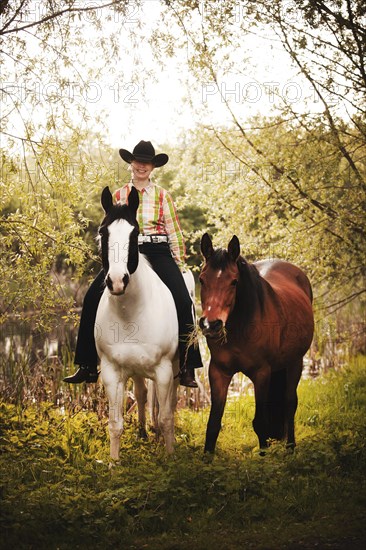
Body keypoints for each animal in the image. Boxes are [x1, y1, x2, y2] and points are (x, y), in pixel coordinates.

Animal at [94, 187, 182, 462]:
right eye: (103, 232)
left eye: (134, 234)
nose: (116, 281)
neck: (130, 313)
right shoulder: (112, 373)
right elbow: (115, 424)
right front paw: (113, 464)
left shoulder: (164, 371)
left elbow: (165, 418)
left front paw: (171, 457)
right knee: (142, 394)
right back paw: (143, 433)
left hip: (175, 370)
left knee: (169, 403)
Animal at [199, 235, 314, 454]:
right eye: (201, 279)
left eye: (234, 281)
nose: (211, 324)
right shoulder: (218, 372)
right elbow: (213, 424)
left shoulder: (261, 373)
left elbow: (260, 423)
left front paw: (264, 458)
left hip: (295, 362)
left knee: (290, 403)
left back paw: (290, 448)